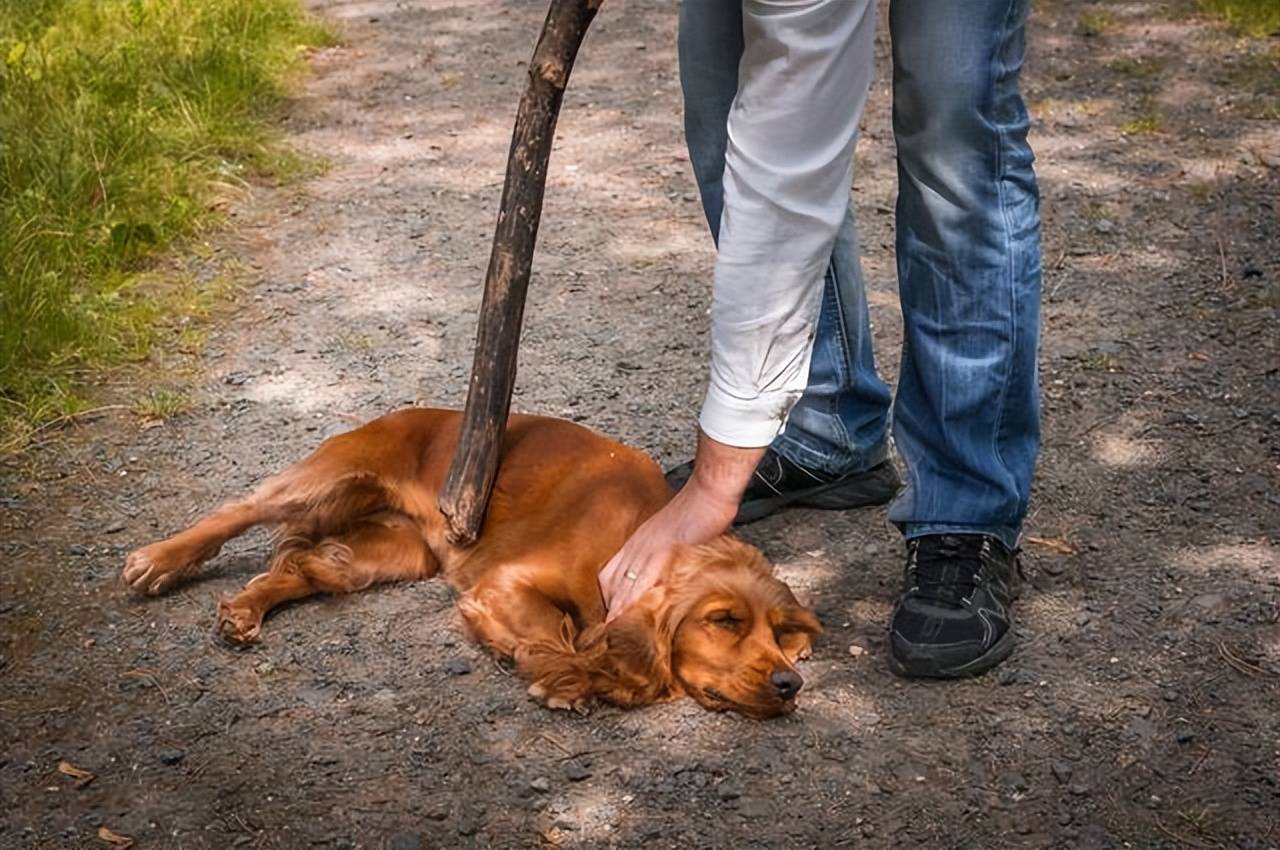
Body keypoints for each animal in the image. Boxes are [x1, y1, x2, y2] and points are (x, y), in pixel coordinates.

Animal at [122, 409, 819, 716]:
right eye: (723, 621)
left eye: (779, 633)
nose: (791, 686)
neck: (637, 533)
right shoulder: (505, 583)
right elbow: (558, 635)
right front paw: (571, 678)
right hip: (331, 475)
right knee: (237, 509)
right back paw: (158, 560)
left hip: (390, 553)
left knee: (307, 568)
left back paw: (243, 611)